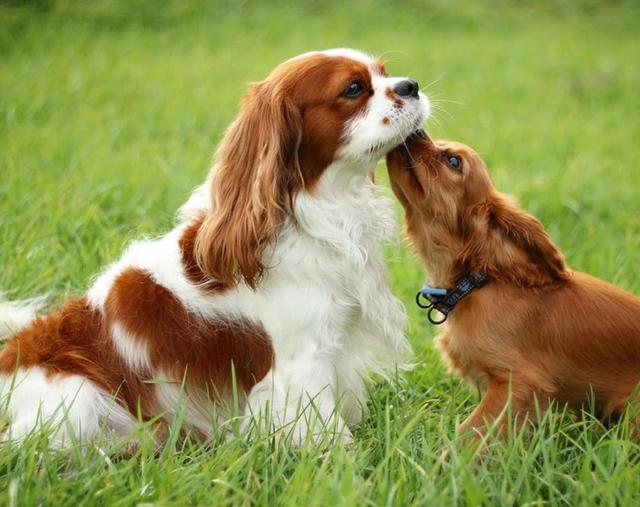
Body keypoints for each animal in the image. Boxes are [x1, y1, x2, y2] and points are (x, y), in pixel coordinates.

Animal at [1, 48, 430, 448]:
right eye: (353, 89)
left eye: (385, 73)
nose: (411, 85)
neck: (311, 211)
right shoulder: (301, 364)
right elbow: (329, 435)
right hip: (79, 402)